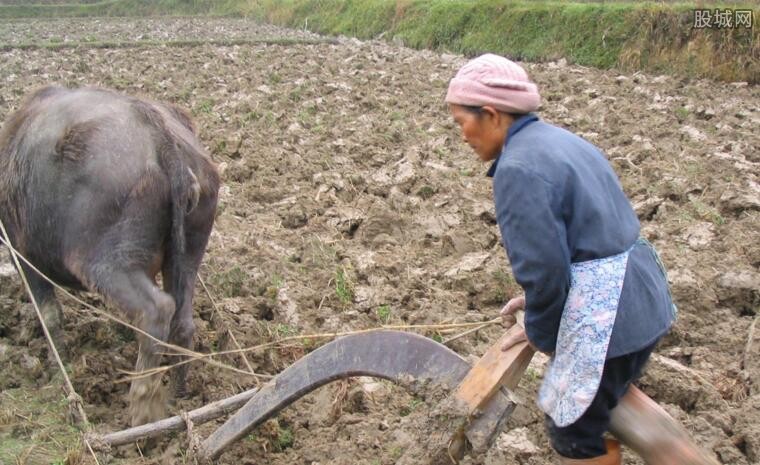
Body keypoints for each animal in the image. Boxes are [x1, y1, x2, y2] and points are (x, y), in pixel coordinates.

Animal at [0, 85, 220, 426]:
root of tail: (161, 137)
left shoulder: (23, 256)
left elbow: (49, 316)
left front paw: (58, 371)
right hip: (188, 256)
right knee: (182, 323)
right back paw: (176, 396)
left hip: (107, 263)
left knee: (156, 311)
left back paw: (142, 406)